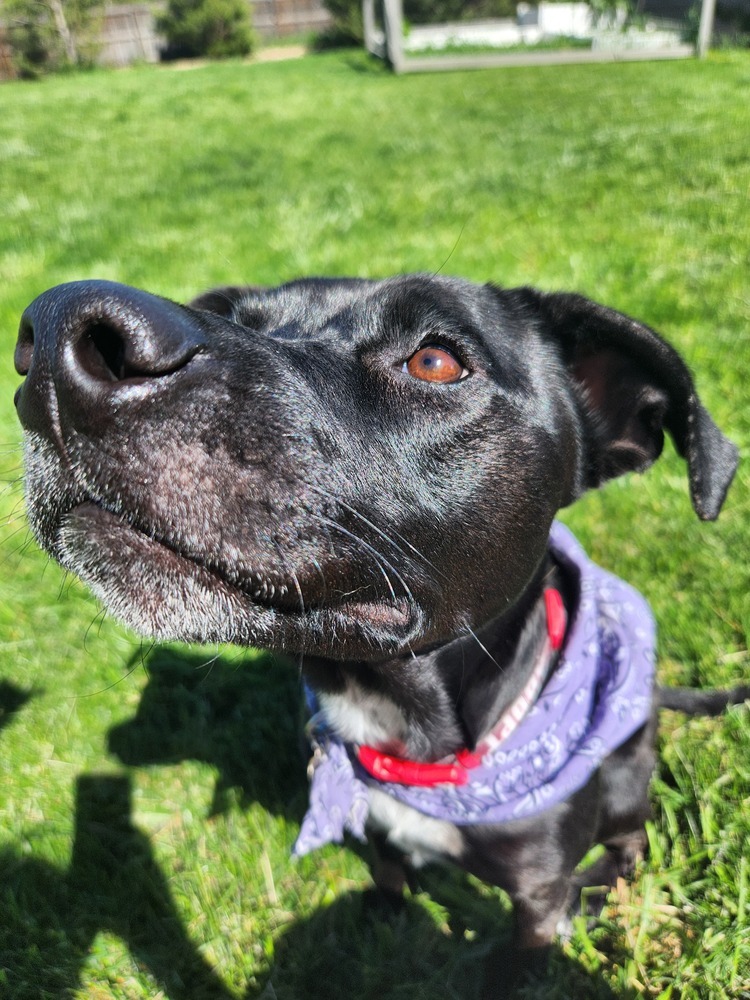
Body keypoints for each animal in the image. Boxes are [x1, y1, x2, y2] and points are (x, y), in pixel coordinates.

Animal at [11, 278, 748, 964]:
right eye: (235, 317)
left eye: (434, 362)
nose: (54, 337)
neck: (393, 716)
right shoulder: (377, 831)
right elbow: (389, 873)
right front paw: (383, 919)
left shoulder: (537, 894)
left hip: (626, 775)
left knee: (631, 840)